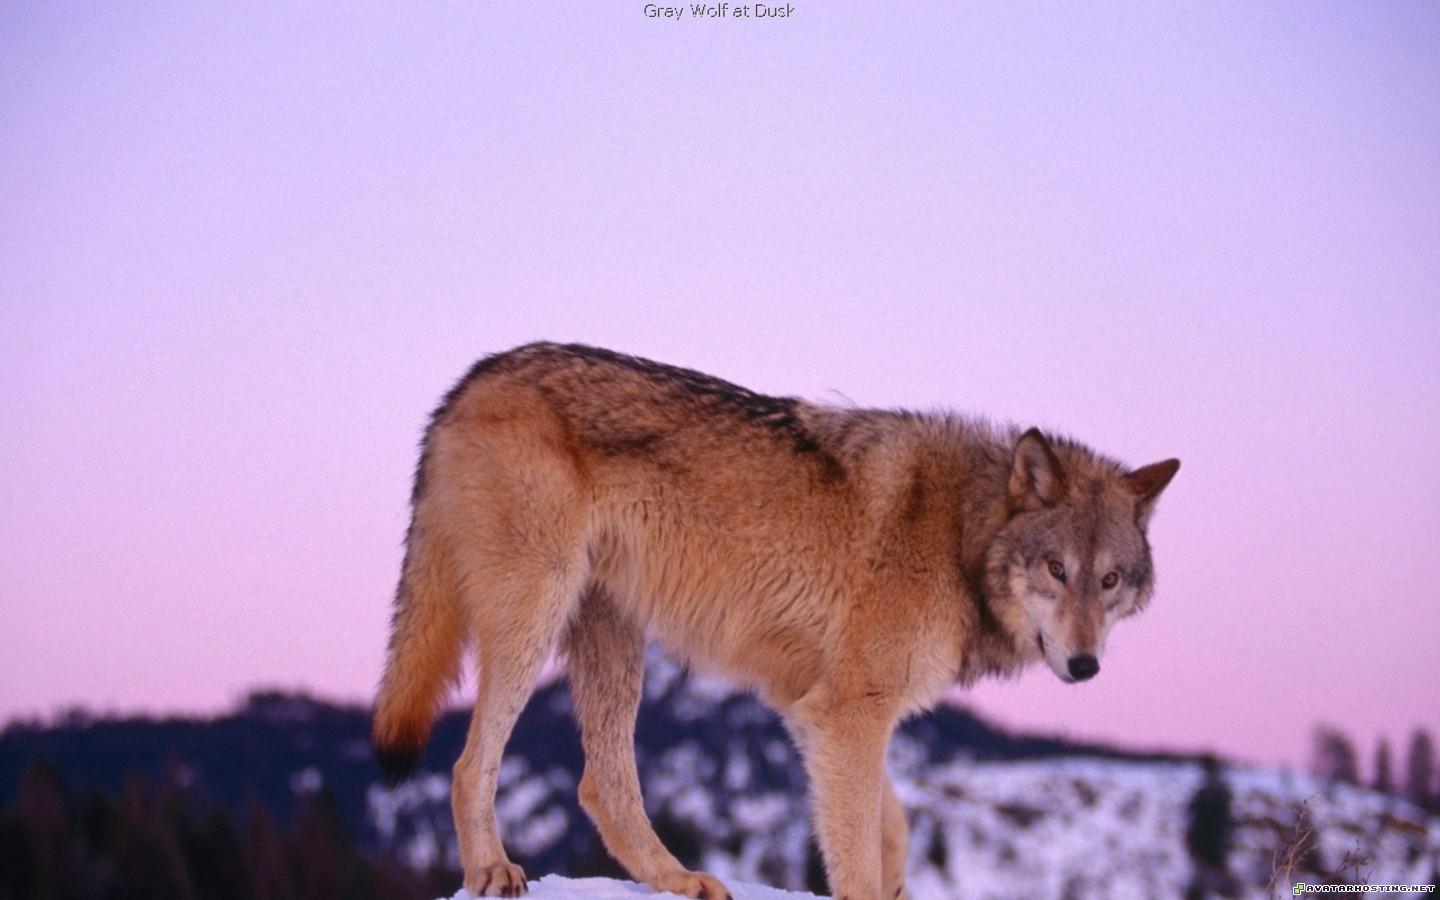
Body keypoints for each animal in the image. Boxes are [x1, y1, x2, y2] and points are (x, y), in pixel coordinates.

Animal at [372, 342, 1179, 900]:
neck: (960, 535)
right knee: (469, 764)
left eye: (1109, 580)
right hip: (534, 618)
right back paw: (492, 871)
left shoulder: (816, 710)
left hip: (614, 638)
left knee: (601, 785)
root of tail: (472, 378)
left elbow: (891, 828)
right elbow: (860, 856)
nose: (1085, 665)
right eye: (1057, 570)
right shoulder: (849, 715)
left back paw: (679, 881)